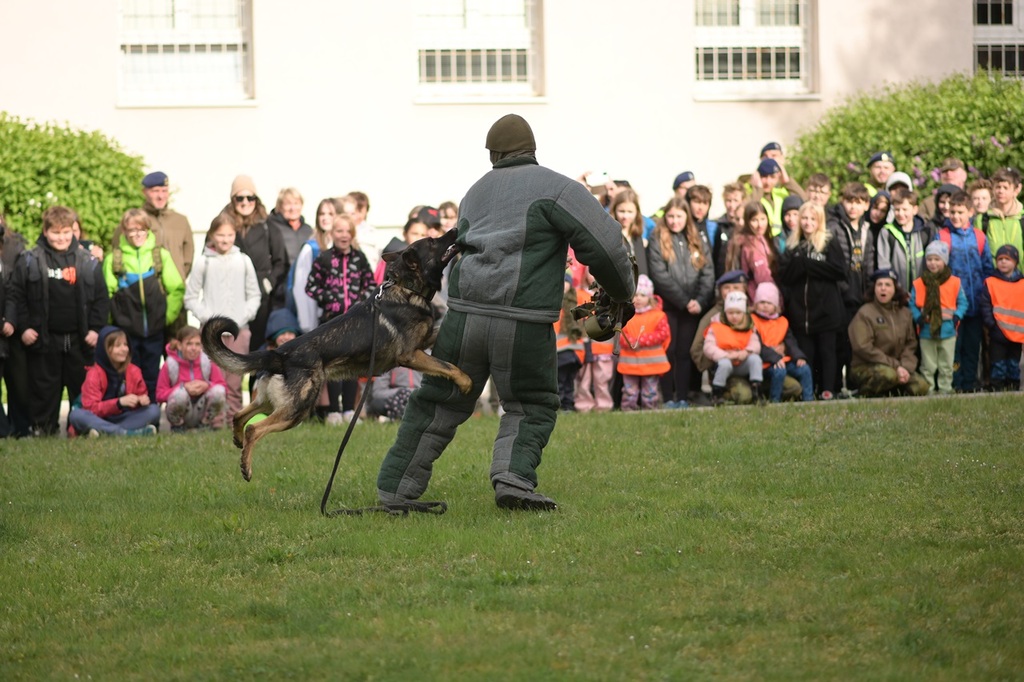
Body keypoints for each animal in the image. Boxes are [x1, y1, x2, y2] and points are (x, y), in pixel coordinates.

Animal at [202, 228, 471, 477]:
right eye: (433, 241)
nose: (455, 229)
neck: (407, 288)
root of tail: (279, 354)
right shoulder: (411, 355)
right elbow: (448, 366)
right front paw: (466, 382)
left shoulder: (424, 341)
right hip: (297, 409)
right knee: (254, 429)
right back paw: (246, 466)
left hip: (270, 403)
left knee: (239, 416)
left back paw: (237, 441)